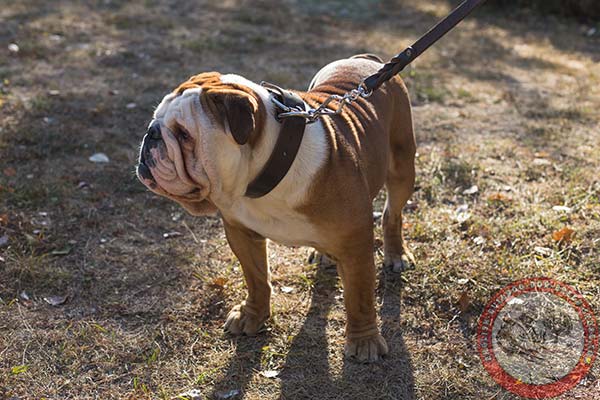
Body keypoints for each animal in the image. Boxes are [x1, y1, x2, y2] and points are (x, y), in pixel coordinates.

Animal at [138, 54, 414, 364]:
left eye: (184, 135)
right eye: (155, 119)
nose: (151, 133)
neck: (271, 167)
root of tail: (365, 58)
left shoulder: (355, 246)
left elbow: (359, 296)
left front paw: (364, 340)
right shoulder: (241, 232)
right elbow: (256, 279)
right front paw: (252, 316)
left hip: (402, 166)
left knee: (392, 214)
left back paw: (396, 255)